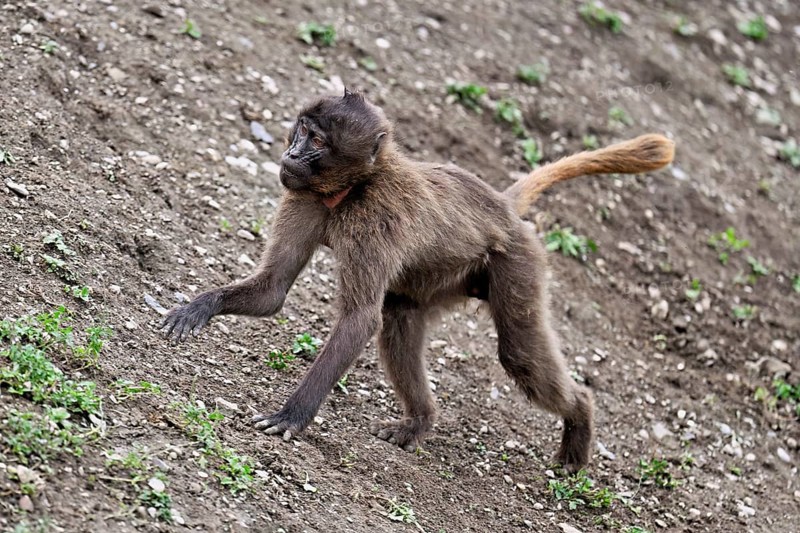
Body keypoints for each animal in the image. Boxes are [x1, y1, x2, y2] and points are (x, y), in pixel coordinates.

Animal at [162, 89, 674, 473]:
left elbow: (359, 319)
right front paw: (199, 308)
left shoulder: (373, 223)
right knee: (400, 320)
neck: (355, 188)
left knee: (518, 354)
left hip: (517, 261)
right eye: (302, 130)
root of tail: (502, 207)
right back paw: (419, 424)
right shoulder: (303, 198)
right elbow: (272, 292)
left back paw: (580, 419)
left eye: (318, 140)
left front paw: (292, 416)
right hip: (445, 278)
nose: (289, 154)